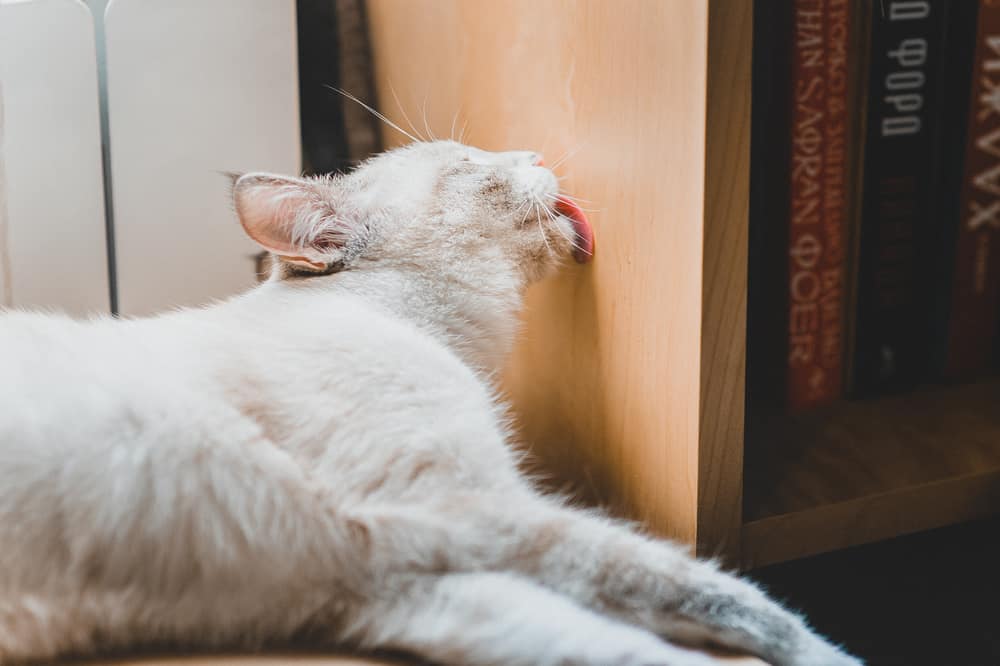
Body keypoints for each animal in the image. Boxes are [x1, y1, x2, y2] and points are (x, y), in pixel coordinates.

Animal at [0, 140, 860, 664]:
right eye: (475, 165)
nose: (532, 152)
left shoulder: (398, 583)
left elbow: (629, 645)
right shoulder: (477, 510)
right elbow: (729, 598)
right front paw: (830, 652)